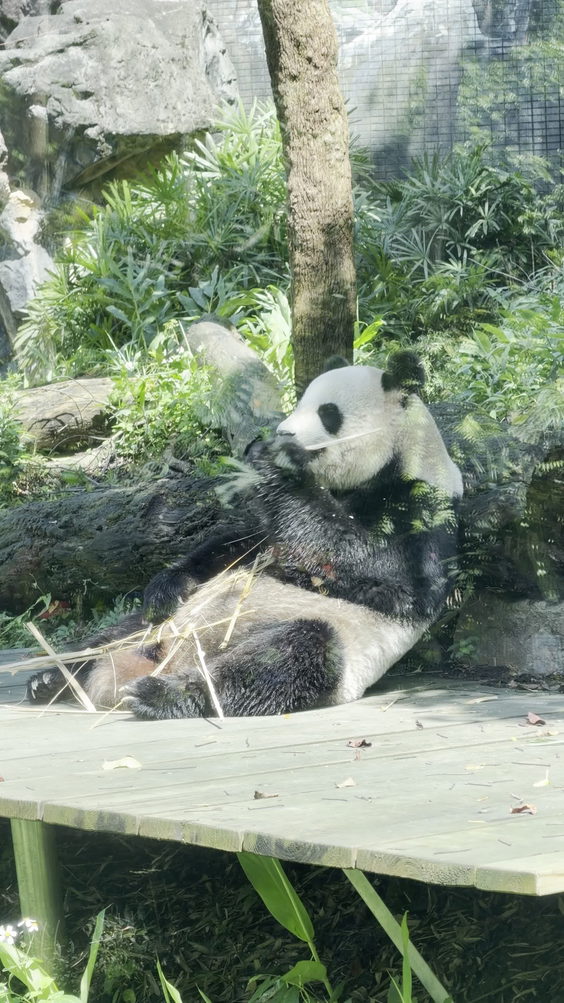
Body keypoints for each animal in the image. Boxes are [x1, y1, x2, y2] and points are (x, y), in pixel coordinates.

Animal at [27, 351, 463, 719]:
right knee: (117, 631)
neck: (398, 459)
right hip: (156, 629)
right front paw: (167, 585)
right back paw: (51, 677)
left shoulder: (420, 509)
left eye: (328, 413)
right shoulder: (265, 530)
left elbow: (388, 577)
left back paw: (165, 694)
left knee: (289, 655)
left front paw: (276, 463)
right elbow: (234, 545)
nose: (283, 433)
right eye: (300, 402)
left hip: (331, 638)